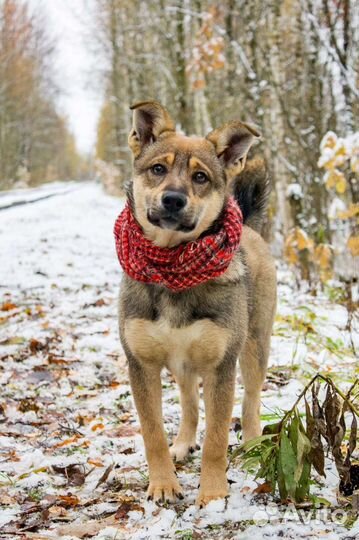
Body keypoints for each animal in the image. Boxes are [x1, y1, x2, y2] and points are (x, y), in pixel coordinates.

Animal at [116, 100, 278, 506]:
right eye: (158, 169)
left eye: (201, 177)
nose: (174, 199)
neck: (172, 263)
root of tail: (249, 226)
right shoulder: (141, 364)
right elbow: (153, 434)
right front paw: (163, 483)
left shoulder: (221, 366)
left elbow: (217, 439)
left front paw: (215, 494)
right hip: (183, 365)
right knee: (190, 406)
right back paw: (183, 443)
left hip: (254, 347)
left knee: (251, 401)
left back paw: (252, 442)